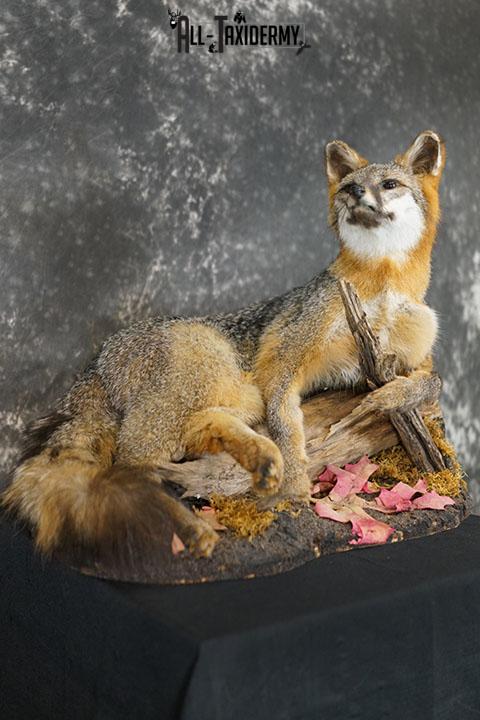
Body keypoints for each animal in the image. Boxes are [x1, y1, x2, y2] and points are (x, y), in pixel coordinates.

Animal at [2, 130, 445, 569]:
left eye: (389, 184)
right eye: (349, 185)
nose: (353, 193)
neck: (381, 293)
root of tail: (95, 361)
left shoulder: (414, 356)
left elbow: (433, 383)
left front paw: (390, 396)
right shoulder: (283, 361)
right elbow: (288, 428)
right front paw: (295, 485)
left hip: (237, 395)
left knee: (193, 435)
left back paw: (258, 459)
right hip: (211, 376)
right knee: (133, 464)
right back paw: (192, 526)